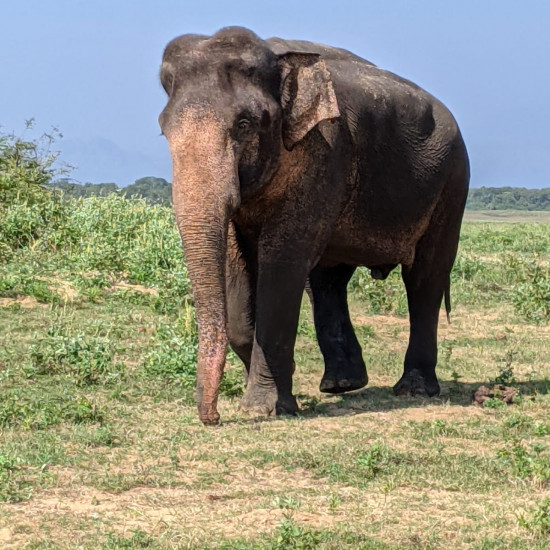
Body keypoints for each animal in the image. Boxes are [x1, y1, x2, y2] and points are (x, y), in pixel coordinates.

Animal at [158, 25, 470, 426]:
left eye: (243, 124)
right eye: (164, 131)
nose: (211, 418)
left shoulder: (324, 151)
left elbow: (282, 263)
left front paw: (265, 408)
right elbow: (239, 270)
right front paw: (273, 398)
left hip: (452, 181)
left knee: (424, 277)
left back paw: (413, 389)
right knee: (326, 280)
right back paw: (341, 385)